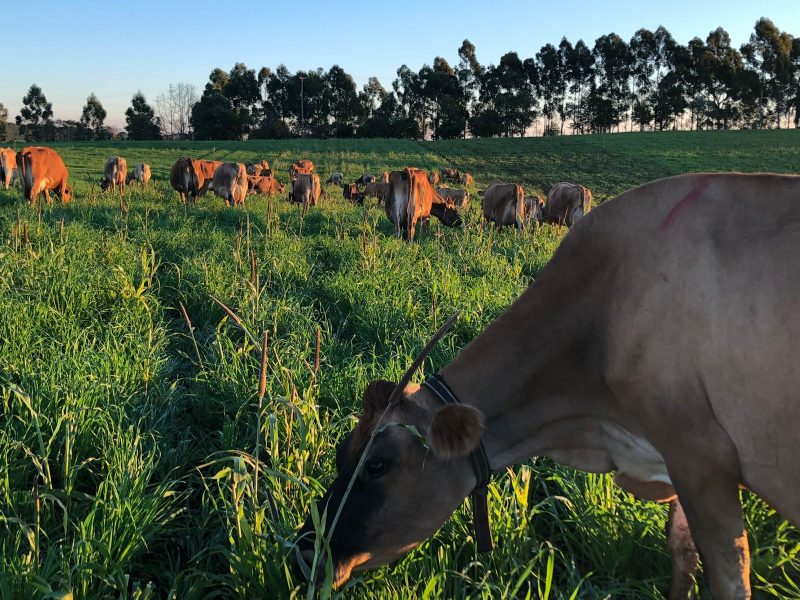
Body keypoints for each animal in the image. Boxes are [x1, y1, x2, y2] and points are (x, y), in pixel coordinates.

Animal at [298, 172, 800, 600]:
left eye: (377, 465)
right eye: (342, 453)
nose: (305, 551)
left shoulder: (699, 458)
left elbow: (729, 579)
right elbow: (681, 556)